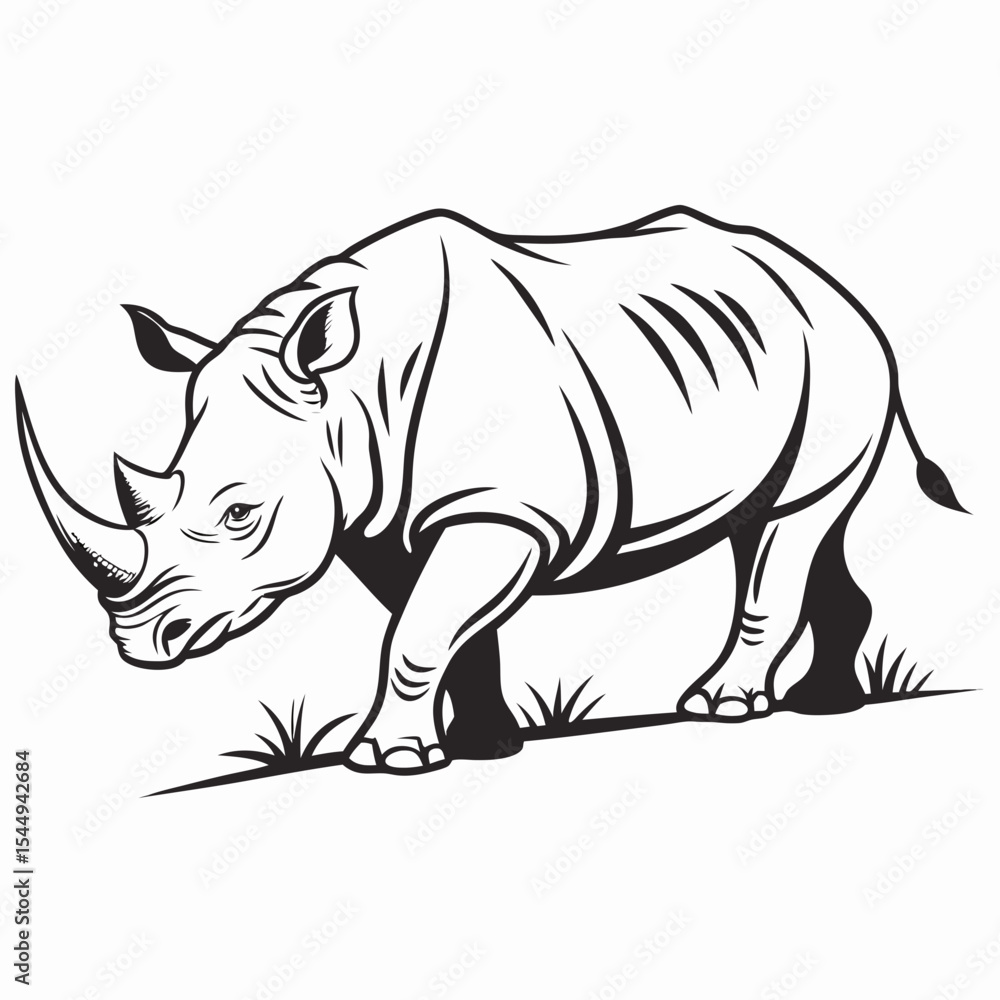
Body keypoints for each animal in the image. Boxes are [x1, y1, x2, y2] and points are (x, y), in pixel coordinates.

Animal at [16, 207, 964, 774]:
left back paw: (722, 708)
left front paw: (387, 761)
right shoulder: (381, 520)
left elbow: (417, 632)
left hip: (837, 358)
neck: (351, 395)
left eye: (242, 513)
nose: (139, 644)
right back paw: (822, 705)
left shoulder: (502, 509)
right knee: (784, 530)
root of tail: (832, 285)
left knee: (788, 526)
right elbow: (443, 629)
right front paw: (485, 746)